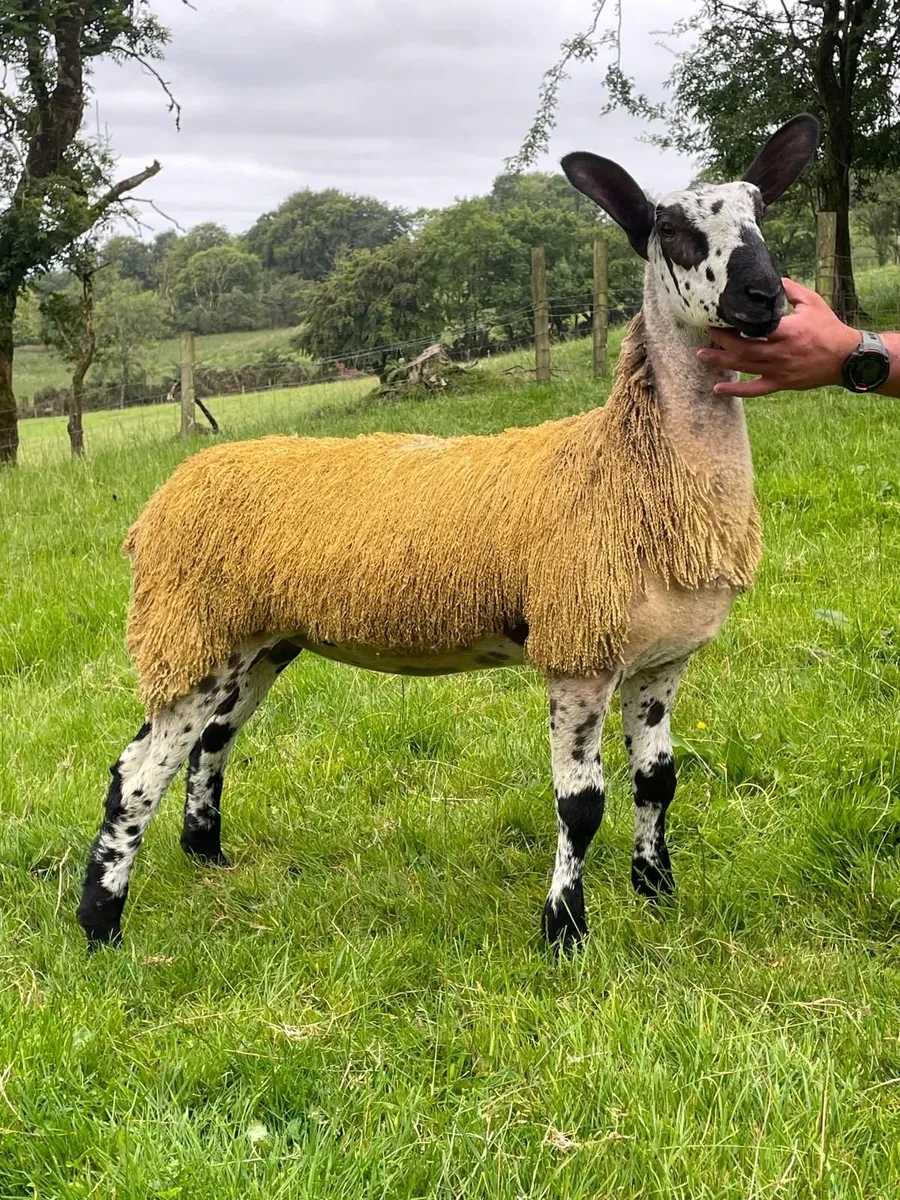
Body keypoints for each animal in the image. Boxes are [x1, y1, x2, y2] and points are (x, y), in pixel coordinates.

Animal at [76, 115, 820, 951]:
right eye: (671, 229)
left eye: (763, 209)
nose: (765, 296)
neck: (632, 470)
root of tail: (165, 496)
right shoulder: (577, 650)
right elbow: (581, 805)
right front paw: (564, 931)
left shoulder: (663, 660)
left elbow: (658, 781)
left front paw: (658, 893)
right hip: (190, 628)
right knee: (138, 772)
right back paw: (101, 921)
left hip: (258, 640)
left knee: (209, 742)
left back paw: (206, 855)